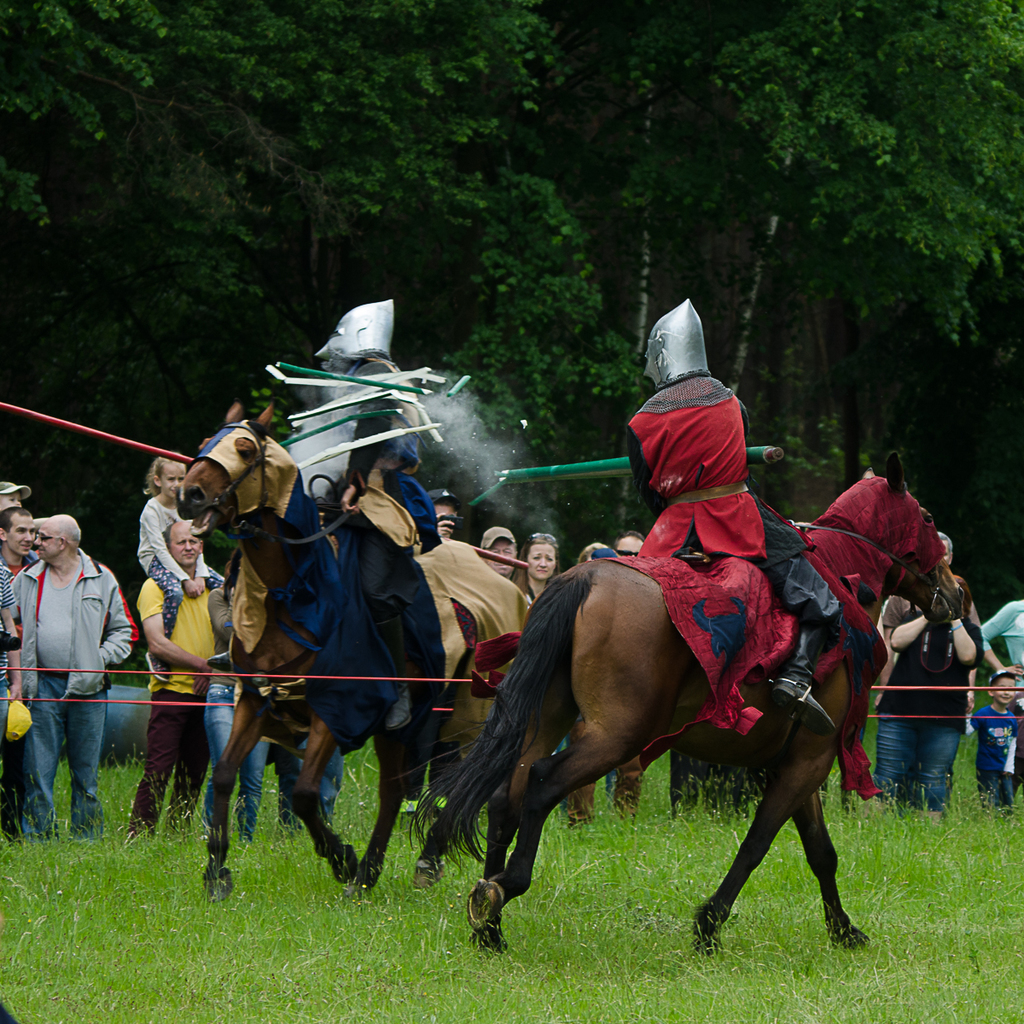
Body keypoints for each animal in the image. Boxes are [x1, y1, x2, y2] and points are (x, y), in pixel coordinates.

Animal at [415, 454, 958, 950]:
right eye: (929, 518)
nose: (957, 594)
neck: (842, 577)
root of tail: (579, 578)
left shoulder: (799, 760)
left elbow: (821, 852)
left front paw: (844, 932)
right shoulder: (808, 762)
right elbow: (757, 844)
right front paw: (709, 926)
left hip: (547, 718)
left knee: (506, 793)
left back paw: (489, 924)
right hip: (616, 735)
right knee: (543, 783)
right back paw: (505, 886)